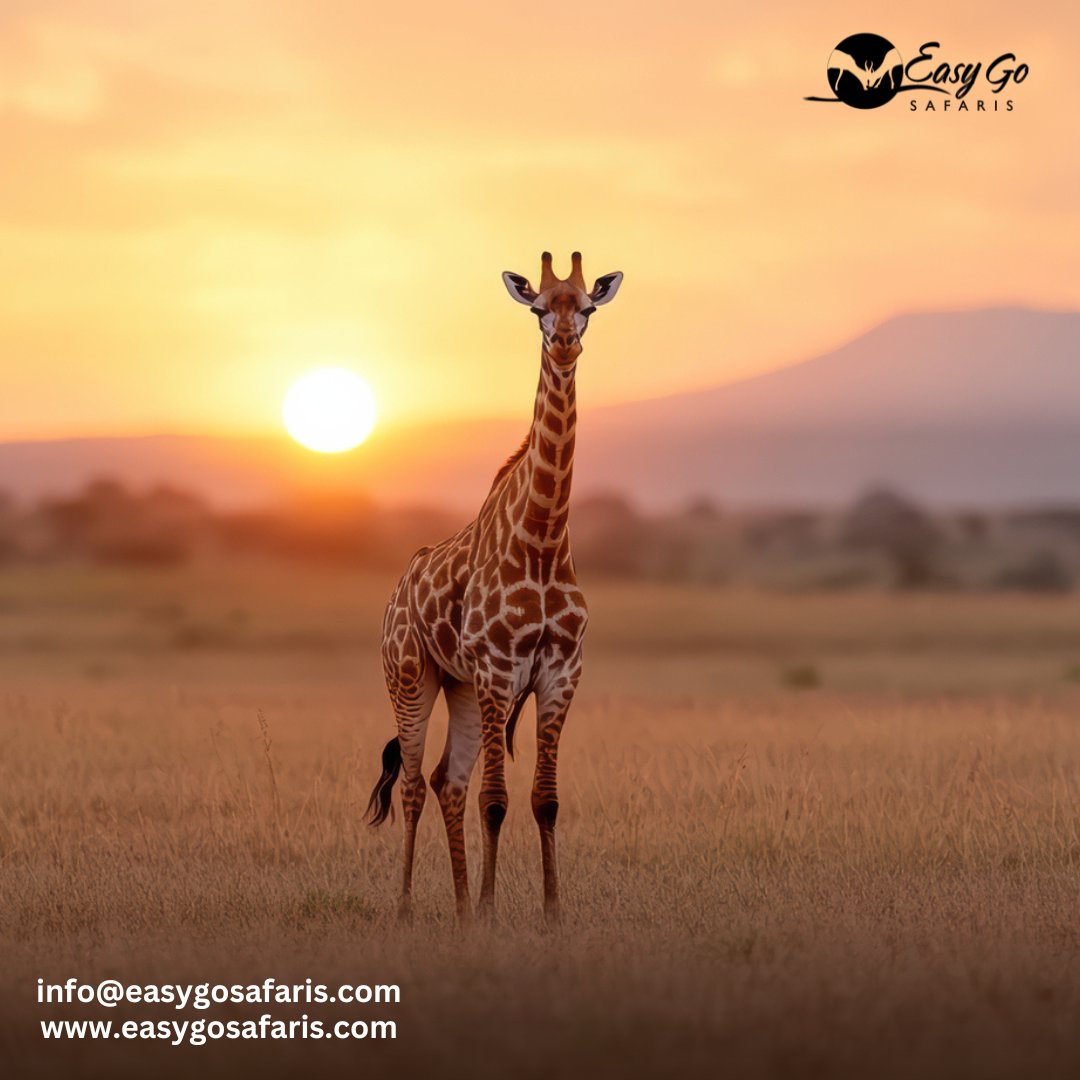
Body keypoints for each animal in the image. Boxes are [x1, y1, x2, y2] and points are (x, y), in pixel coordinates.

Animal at [366, 251, 623, 923]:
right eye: (538, 309)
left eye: (588, 307)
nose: (565, 343)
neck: (542, 540)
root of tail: (397, 591)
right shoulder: (499, 669)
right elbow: (497, 799)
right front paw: (489, 910)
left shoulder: (561, 672)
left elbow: (543, 799)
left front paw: (550, 914)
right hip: (412, 676)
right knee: (413, 782)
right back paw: (408, 909)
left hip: (458, 686)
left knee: (445, 781)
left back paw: (457, 909)